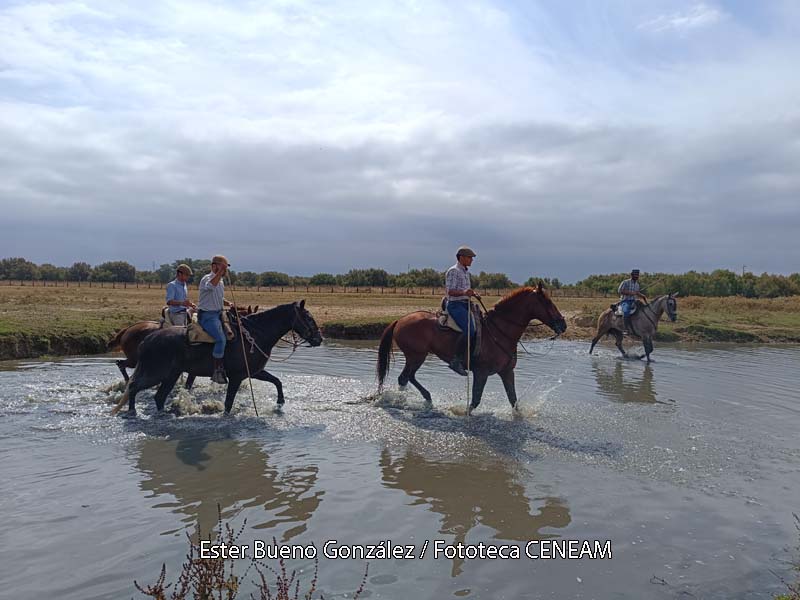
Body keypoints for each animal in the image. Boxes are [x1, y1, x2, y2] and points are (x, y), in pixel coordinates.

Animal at [111, 300, 322, 418]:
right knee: (134, 386)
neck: (253, 335)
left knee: (156, 395)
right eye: (309, 318)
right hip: (156, 373)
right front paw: (226, 416)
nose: (319, 339)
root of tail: (147, 338)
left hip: (170, 375)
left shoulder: (254, 372)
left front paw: (280, 403)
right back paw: (133, 412)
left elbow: (277, 381)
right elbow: (228, 402)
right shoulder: (237, 377)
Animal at [378, 284, 564, 414]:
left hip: (416, 357)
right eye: (548, 302)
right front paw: (462, 412)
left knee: (407, 378)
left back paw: (422, 399)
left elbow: (513, 400)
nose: (563, 324)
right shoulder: (481, 373)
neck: (498, 331)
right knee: (405, 377)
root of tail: (400, 320)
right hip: (416, 356)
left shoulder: (507, 372)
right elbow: (475, 399)